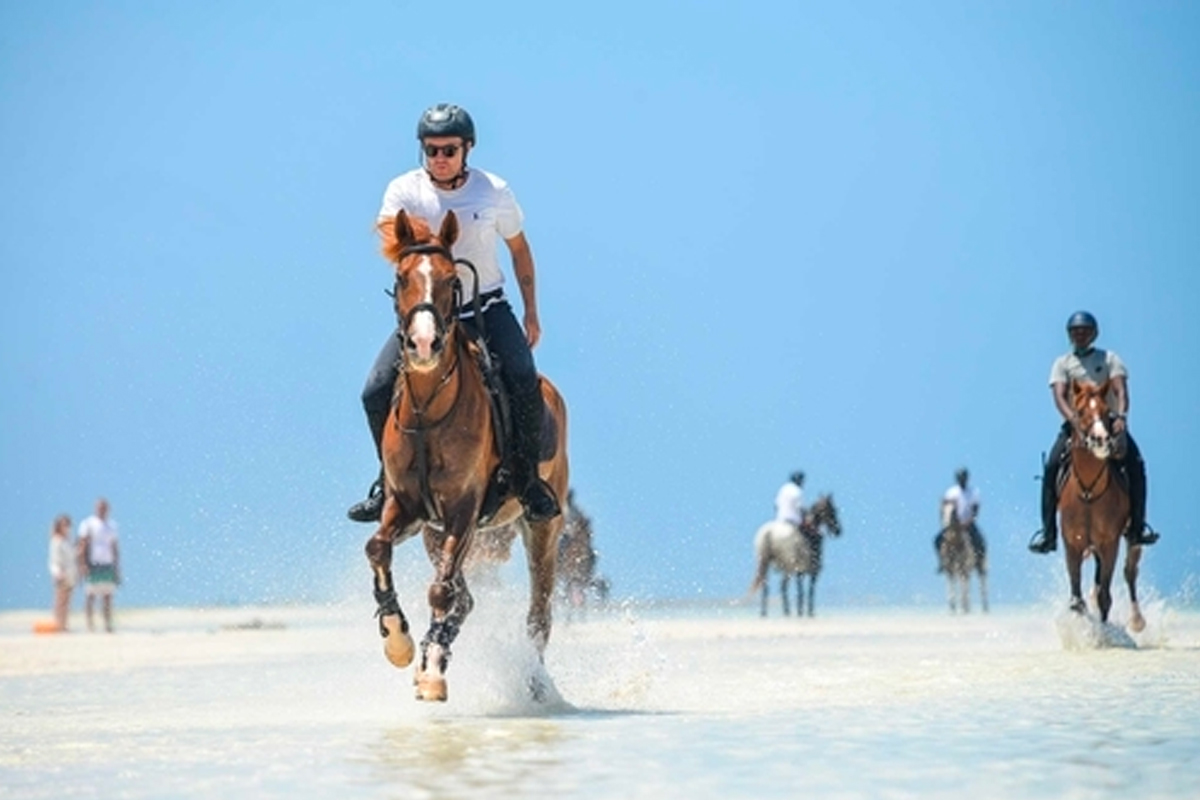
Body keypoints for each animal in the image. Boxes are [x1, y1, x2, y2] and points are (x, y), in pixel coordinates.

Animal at [360, 209, 571, 705]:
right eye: (401, 278)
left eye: (451, 280)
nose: (423, 345)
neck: (427, 407)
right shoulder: (407, 508)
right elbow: (377, 547)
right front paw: (399, 642)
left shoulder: (463, 510)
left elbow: (441, 592)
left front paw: (433, 671)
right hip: (432, 532)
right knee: (468, 598)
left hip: (541, 529)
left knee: (538, 614)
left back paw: (535, 684)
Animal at [1060, 381, 1142, 633]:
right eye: (1079, 412)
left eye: (1107, 412)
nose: (1100, 438)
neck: (1089, 492)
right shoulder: (1073, 543)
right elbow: (1076, 600)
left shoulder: (1109, 543)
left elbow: (1105, 596)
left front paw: (1103, 634)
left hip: (1130, 537)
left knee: (1130, 571)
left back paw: (1137, 620)